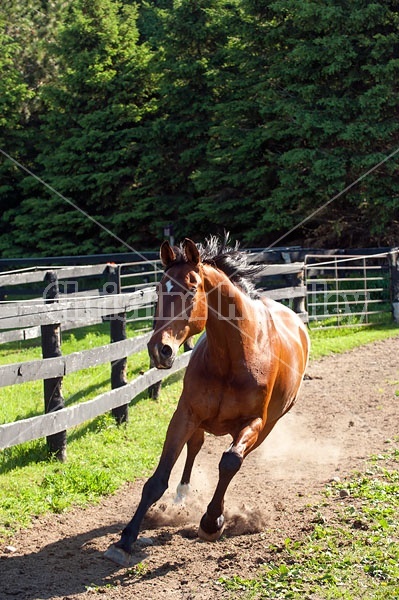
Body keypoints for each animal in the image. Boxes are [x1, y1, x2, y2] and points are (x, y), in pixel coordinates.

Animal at [104, 237, 310, 564]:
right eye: (159, 290)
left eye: (191, 290)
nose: (160, 350)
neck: (234, 356)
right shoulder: (185, 414)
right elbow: (157, 479)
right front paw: (125, 540)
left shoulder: (255, 422)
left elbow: (229, 463)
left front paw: (212, 522)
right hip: (201, 422)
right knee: (195, 447)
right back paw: (182, 495)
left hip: (268, 427)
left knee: (234, 458)